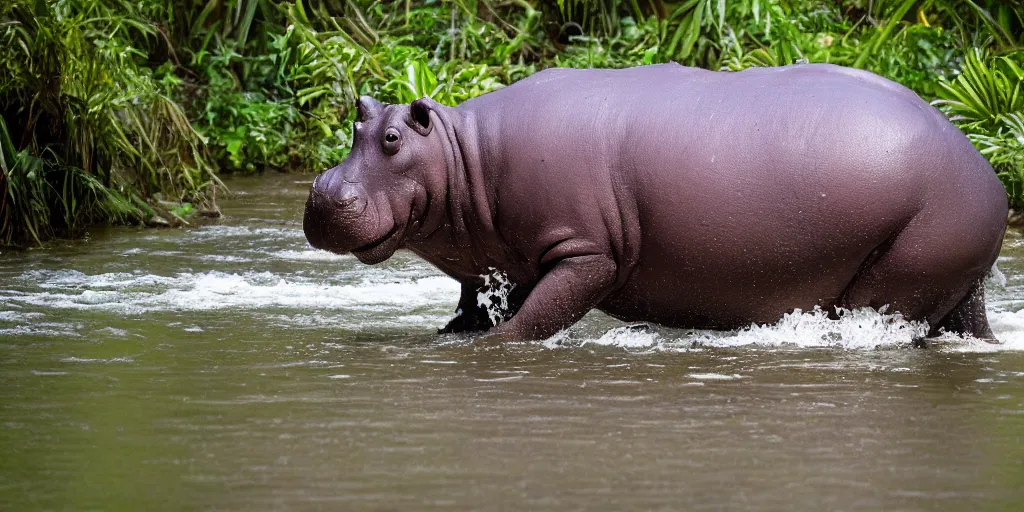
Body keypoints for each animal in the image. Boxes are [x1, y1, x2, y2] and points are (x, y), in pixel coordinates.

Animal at [303, 65, 1007, 344]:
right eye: (357, 119)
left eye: (393, 139)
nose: (322, 192)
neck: (463, 156)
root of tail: (990, 178)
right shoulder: (488, 268)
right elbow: (473, 311)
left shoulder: (587, 252)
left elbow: (531, 320)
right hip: (955, 279)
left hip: (904, 268)